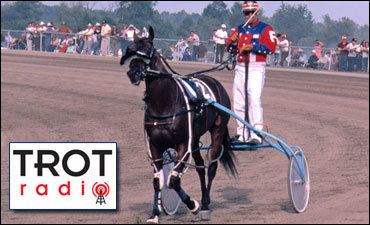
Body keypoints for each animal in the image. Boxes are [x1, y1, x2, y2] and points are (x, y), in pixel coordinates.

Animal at [121, 26, 237, 223]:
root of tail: (216, 83)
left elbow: (173, 180)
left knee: (211, 166)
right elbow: (158, 181)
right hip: (195, 139)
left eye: (148, 50)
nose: (133, 73)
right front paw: (155, 213)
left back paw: (205, 205)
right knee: (200, 167)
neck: (164, 103)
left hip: (217, 131)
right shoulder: (155, 146)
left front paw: (193, 205)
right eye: (131, 49)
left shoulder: (183, 144)